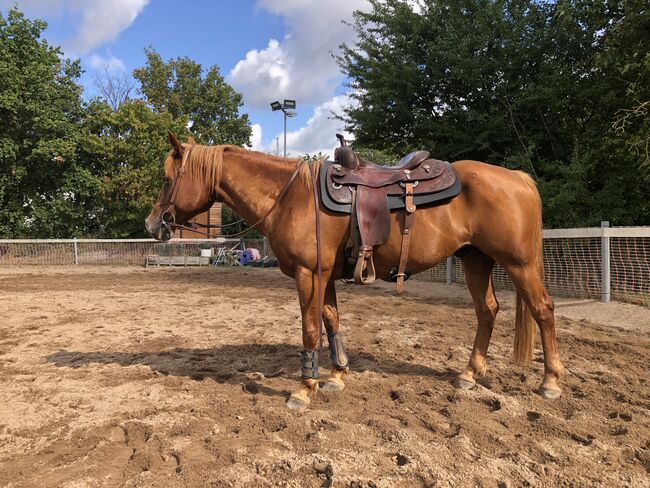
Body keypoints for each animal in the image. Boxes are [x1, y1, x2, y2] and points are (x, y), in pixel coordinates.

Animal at [147, 132, 560, 410]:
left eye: (167, 179)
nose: (153, 224)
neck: (291, 196)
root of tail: (518, 177)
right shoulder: (325, 276)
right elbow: (331, 322)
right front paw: (337, 375)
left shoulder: (309, 274)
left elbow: (311, 329)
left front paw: (305, 388)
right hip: (475, 260)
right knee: (487, 311)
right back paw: (469, 375)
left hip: (519, 264)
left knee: (542, 310)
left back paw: (551, 382)